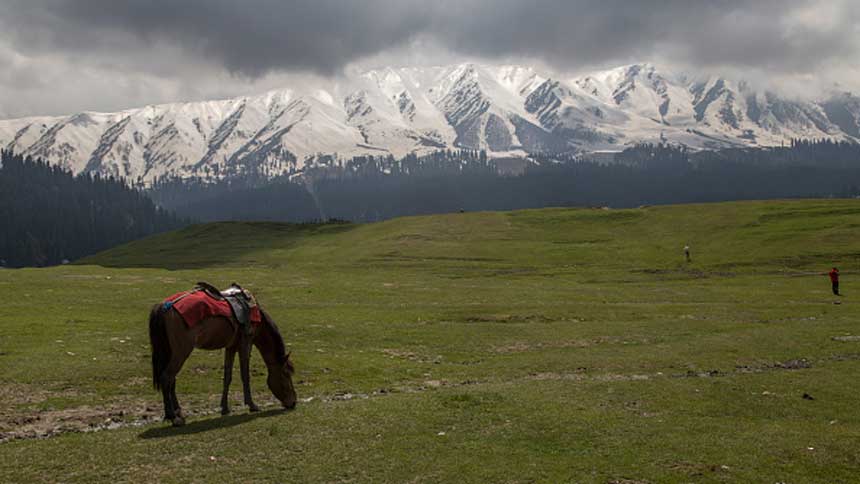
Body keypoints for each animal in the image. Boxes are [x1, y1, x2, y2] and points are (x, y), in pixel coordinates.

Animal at [148, 296, 296, 426]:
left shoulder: (231, 346)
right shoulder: (245, 343)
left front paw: (225, 408)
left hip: (170, 352)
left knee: (171, 379)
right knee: (166, 377)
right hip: (181, 352)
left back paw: (178, 413)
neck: (258, 319)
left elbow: (227, 376)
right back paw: (173, 417)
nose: (293, 402)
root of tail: (163, 307)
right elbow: (245, 375)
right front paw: (252, 405)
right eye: (286, 374)